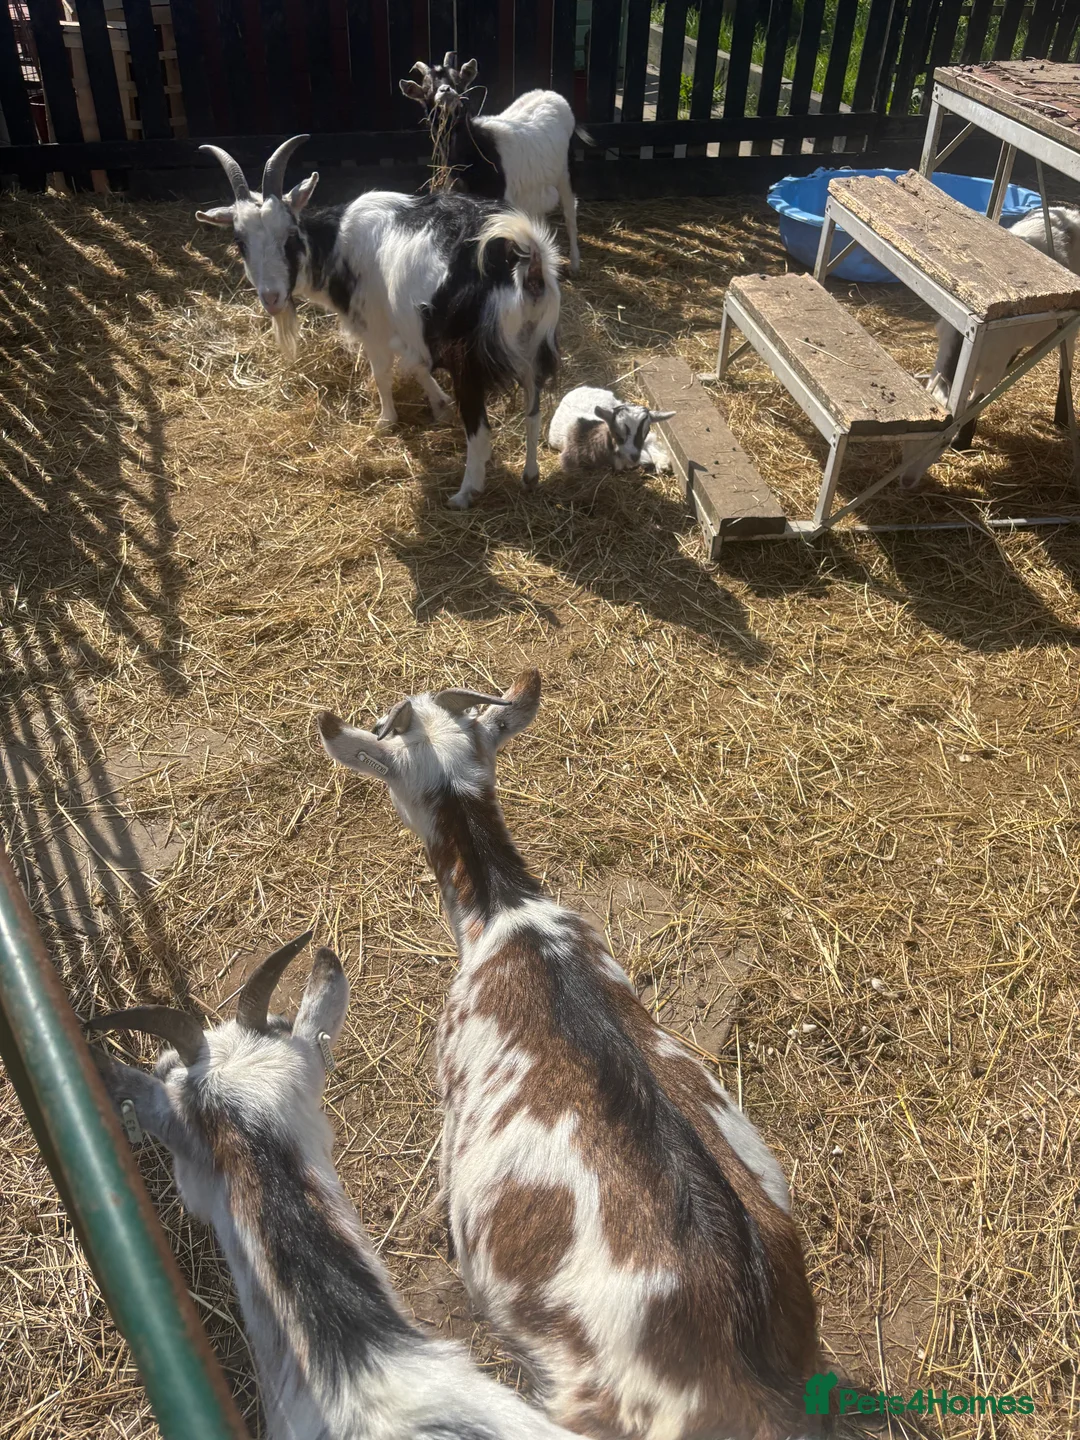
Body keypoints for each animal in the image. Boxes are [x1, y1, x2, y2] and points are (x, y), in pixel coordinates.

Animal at [196, 136, 560, 509]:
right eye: (240, 242)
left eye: (290, 235)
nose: (271, 297)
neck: (338, 243)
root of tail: (525, 263)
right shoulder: (410, 328)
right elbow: (417, 366)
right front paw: (439, 404)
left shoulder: (374, 327)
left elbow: (382, 374)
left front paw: (386, 422)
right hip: (534, 346)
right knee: (533, 409)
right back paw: (530, 476)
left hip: (469, 360)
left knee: (481, 429)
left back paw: (464, 493)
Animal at [400, 54, 583, 274]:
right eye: (427, 86)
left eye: (458, 81)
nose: (446, 91)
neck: (476, 150)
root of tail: (553, 95)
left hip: (566, 172)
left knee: (570, 213)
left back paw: (574, 263)